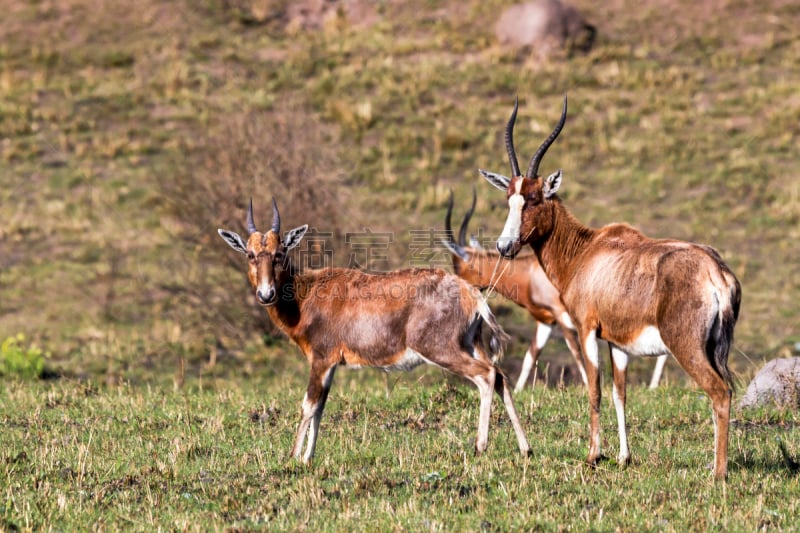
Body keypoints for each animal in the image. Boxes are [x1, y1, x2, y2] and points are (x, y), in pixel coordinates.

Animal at [217, 197, 532, 464]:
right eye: (250, 254)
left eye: (280, 253)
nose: (265, 294)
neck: (307, 294)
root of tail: (470, 292)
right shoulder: (331, 365)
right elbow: (320, 406)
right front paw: (307, 458)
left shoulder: (321, 360)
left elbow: (308, 404)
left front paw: (294, 457)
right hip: (472, 345)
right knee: (500, 376)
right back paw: (525, 448)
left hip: (441, 350)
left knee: (486, 375)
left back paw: (480, 447)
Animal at [440, 189, 584, 388]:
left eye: (458, 267)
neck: (531, 272)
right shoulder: (546, 321)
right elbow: (530, 357)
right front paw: (517, 391)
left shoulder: (563, 318)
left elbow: (578, 355)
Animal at [478, 97, 740, 480]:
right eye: (509, 198)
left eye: (536, 198)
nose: (505, 246)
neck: (588, 250)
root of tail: (714, 271)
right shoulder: (618, 341)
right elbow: (620, 394)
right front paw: (622, 457)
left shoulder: (586, 329)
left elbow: (594, 390)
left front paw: (592, 456)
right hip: (715, 348)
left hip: (687, 347)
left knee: (719, 393)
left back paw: (718, 474)